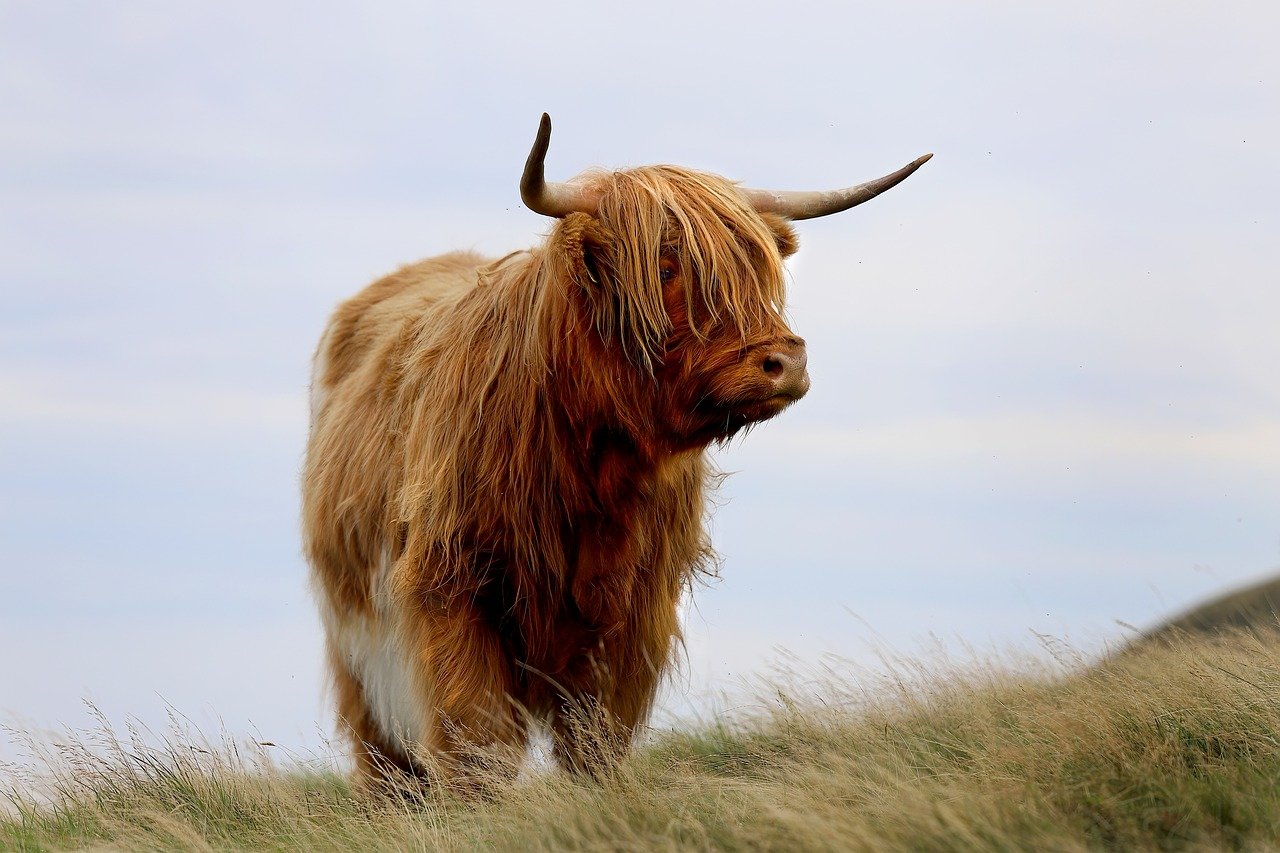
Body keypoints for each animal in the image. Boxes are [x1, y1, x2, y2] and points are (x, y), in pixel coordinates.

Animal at [307, 112, 931, 783]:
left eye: (759, 268)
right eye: (665, 265)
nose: (785, 362)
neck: (591, 465)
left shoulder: (633, 615)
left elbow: (596, 739)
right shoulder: (452, 587)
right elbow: (475, 739)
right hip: (357, 646)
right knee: (385, 757)